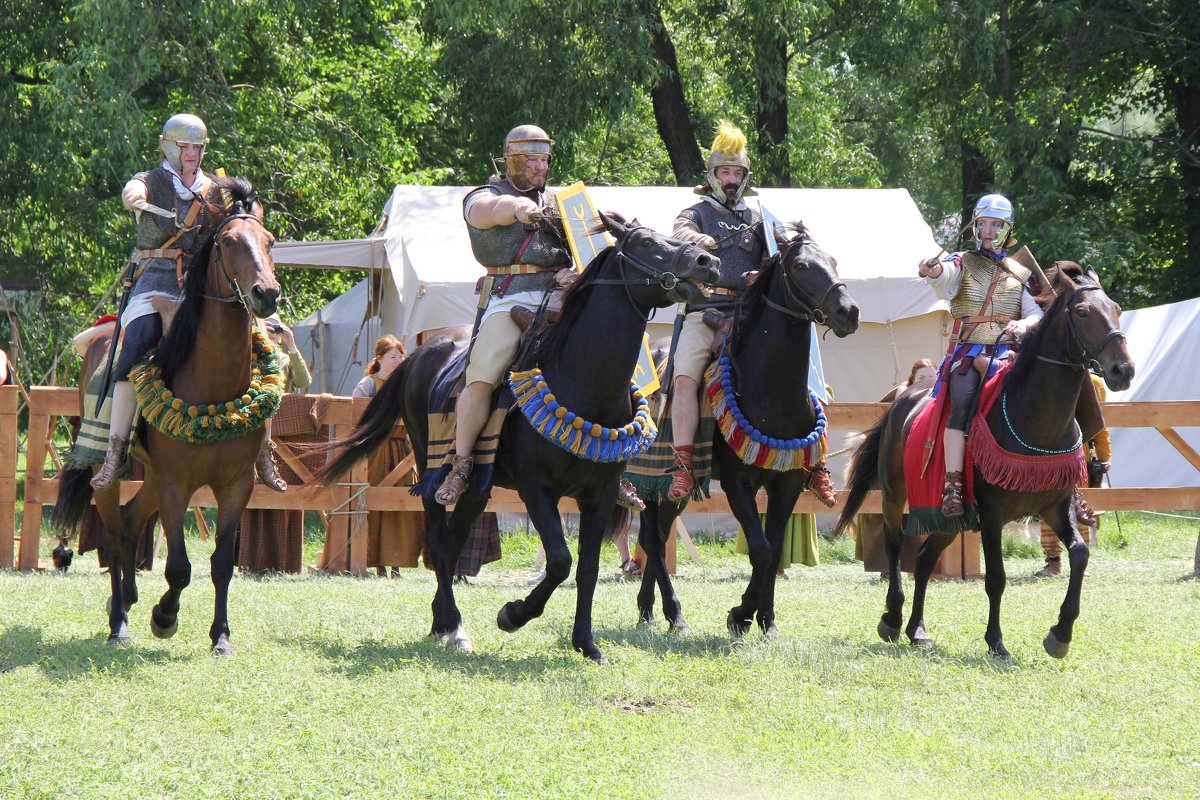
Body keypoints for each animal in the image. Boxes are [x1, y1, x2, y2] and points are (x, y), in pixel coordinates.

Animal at [52, 179, 279, 657]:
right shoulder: (177, 485)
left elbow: (222, 563)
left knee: (132, 523)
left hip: (154, 475)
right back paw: (119, 622)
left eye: (269, 242)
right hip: (111, 468)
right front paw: (165, 617)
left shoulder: (237, 485)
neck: (212, 386)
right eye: (229, 242)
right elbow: (178, 567)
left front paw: (221, 636)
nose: (267, 295)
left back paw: (127, 599)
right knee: (115, 533)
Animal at [314, 214, 715, 662]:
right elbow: (559, 561)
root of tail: (419, 354)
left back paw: (442, 622)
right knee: (437, 537)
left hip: (478, 485)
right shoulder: (536, 488)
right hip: (431, 468)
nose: (708, 261)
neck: (582, 380)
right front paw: (513, 614)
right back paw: (455, 626)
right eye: (645, 242)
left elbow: (587, 568)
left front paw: (586, 643)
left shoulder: (600, 493)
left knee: (453, 540)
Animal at [633, 225, 859, 638]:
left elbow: (774, 549)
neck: (770, 390)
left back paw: (649, 610)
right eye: (801, 266)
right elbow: (761, 549)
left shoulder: (786, 483)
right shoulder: (738, 482)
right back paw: (675, 614)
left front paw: (766, 621)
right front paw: (740, 615)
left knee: (656, 534)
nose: (848, 312)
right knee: (653, 540)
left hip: (673, 488)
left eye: (833, 261)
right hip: (651, 476)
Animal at [835, 262, 1132, 662]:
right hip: (895, 494)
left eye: (1116, 308)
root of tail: (902, 399)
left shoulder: (1055, 506)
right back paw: (893, 620)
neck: (1034, 418)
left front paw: (1060, 634)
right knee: (895, 545)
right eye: (1083, 312)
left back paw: (918, 629)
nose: (1123, 371)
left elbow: (1081, 554)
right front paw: (996, 642)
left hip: (948, 518)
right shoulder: (992, 515)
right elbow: (996, 579)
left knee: (925, 559)